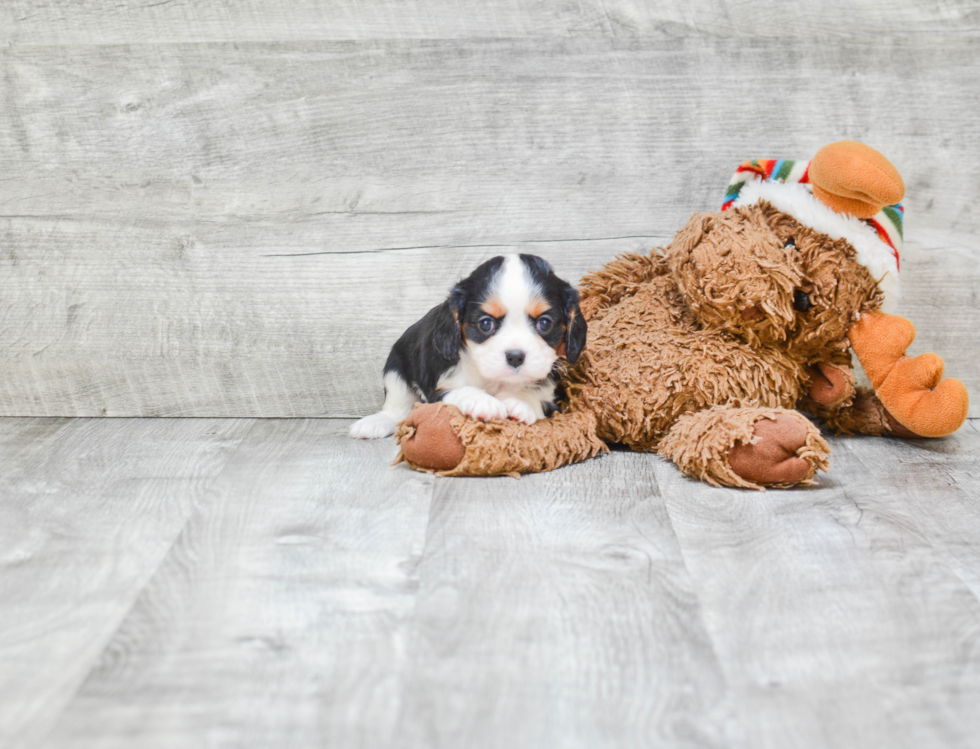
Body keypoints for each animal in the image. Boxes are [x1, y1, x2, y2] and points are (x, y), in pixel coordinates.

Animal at [350, 251, 584, 438]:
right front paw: (484, 401)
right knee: (397, 409)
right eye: (486, 324)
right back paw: (375, 423)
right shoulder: (437, 389)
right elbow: (460, 390)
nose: (515, 356)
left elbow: (538, 394)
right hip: (395, 368)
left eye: (544, 323)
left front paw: (521, 401)